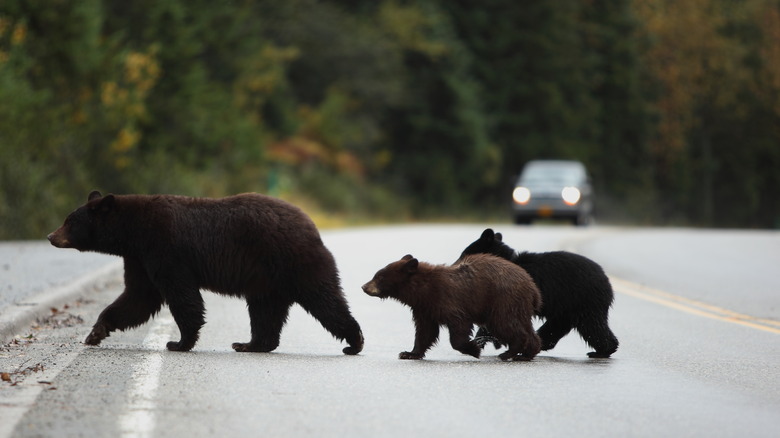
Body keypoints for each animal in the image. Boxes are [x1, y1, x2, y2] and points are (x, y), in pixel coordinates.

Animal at [47, 190, 364, 354]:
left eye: (70, 221)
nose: (51, 236)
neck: (132, 232)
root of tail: (310, 224)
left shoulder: (165, 248)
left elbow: (180, 295)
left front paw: (178, 342)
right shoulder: (138, 258)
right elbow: (138, 296)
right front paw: (96, 332)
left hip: (293, 261)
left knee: (324, 299)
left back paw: (354, 341)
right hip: (267, 280)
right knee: (266, 311)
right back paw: (250, 344)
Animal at [362, 252, 540, 362]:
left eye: (380, 276)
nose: (364, 287)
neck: (423, 290)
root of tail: (532, 287)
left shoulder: (448, 300)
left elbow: (459, 325)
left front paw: (474, 349)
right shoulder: (425, 309)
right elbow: (425, 331)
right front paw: (409, 353)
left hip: (503, 301)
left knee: (505, 324)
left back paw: (507, 353)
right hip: (518, 306)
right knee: (524, 327)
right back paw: (526, 354)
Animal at [458, 228, 616, 358]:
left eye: (464, 253)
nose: (457, 264)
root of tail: (607, 280)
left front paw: (477, 341)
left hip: (584, 302)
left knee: (592, 326)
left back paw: (602, 351)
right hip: (567, 309)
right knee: (557, 326)